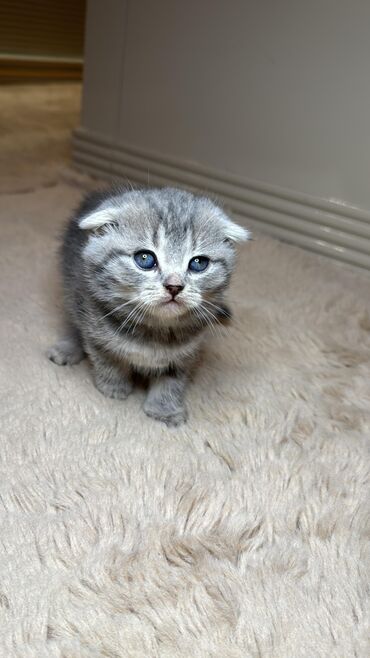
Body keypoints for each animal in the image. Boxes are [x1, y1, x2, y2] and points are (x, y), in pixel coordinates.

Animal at [47, 187, 249, 426]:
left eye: (199, 263)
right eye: (145, 258)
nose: (174, 286)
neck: (153, 332)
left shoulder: (186, 353)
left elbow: (172, 380)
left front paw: (164, 409)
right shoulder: (94, 326)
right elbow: (107, 359)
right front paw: (114, 387)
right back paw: (68, 349)